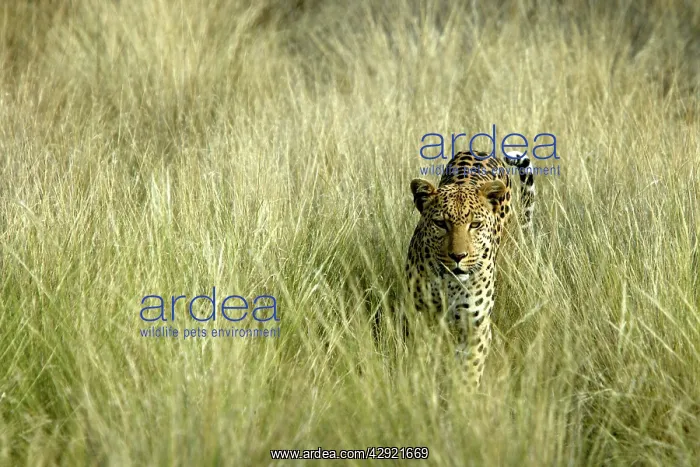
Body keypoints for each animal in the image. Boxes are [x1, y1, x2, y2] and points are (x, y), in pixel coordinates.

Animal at [405, 150, 535, 389]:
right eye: (440, 223)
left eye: (475, 225)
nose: (458, 256)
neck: (449, 283)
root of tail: (482, 151)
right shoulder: (421, 318)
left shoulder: (476, 327)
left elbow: (470, 371)